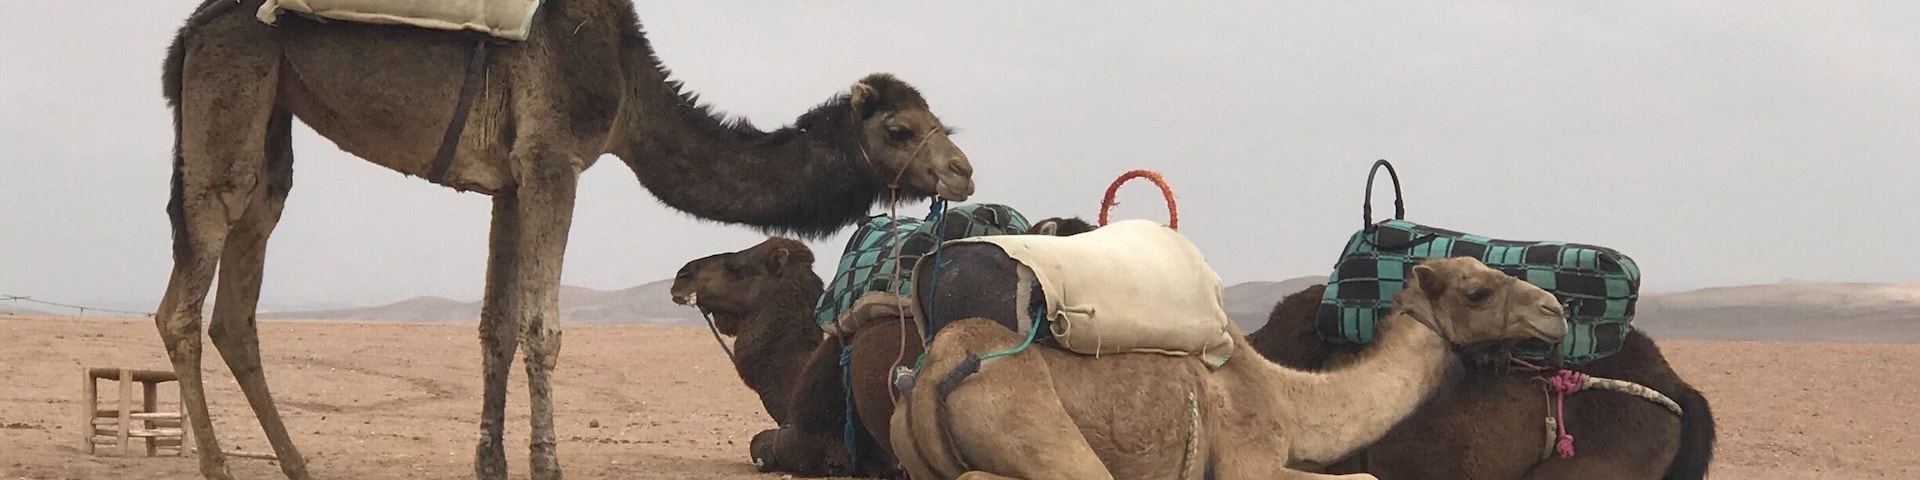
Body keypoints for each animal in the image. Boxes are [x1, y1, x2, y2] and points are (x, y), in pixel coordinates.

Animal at [155, 2, 976, 479]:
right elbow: (541, 328)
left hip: (271, 116)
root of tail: (190, 33)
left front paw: (491, 463)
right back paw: (219, 466)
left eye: (940, 121)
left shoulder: (511, 179)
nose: (962, 170)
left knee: (242, 280)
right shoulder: (553, 159)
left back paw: (295, 462)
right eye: (900, 129)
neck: (626, 88)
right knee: (186, 294)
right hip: (234, 83)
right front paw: (545, 466)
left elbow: (494, 326)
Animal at [893, 254, 1571, 480]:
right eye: (1477, 291)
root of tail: (931, 373)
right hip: (1037, 434)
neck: (1286, 396)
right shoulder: (1250, 459)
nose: (1555, 310)